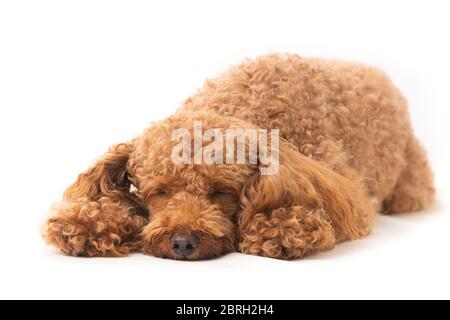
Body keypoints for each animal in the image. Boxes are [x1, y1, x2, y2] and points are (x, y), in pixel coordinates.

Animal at [44, 53, 434, 260]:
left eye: (221, 192)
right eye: (160, 192)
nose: (182, 243)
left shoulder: (341, 187)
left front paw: (281, 227)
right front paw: (87, 224)